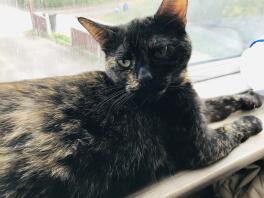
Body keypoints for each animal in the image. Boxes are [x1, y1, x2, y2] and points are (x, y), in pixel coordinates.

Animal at [0, 0, 262, 198]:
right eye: (125, 62)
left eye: (161, 51)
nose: (145, 78)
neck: (176, 91)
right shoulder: (201, 147)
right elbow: (231, 128)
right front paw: (252, 120)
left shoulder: (195, 107)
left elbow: (217, 101)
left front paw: (251, 97)